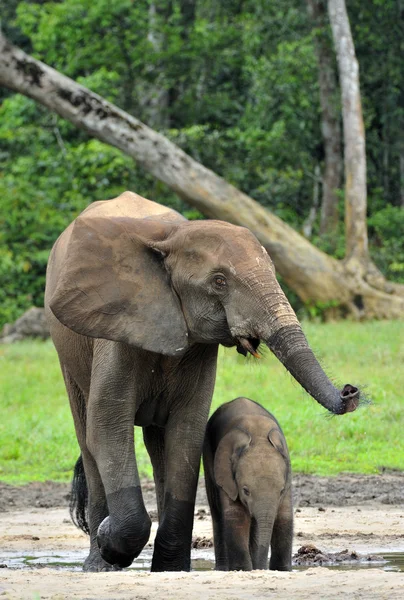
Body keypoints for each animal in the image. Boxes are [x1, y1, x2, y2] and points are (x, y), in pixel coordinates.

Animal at [204, 398, 292, 572]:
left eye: (281, 491)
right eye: (245, 491)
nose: (263, 568)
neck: (258, 435)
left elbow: (284, 516)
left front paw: (282, 570)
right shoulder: (227, 475)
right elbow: (236, 516)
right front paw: (242, 570)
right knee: (217, 513)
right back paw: (223, 568)